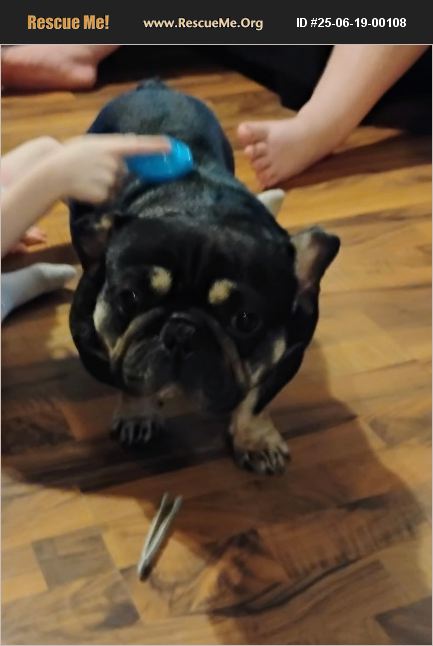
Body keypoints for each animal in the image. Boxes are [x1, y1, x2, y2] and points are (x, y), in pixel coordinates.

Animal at [69, 80, 340, 475]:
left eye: (246, 320)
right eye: (130, 298)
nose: (181, 331)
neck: (199, 206)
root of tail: (154, 85)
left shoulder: (289, 352)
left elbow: (255, 399)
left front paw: (255, 439)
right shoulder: (94, 344)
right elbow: (130, 376)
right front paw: (139, 413)